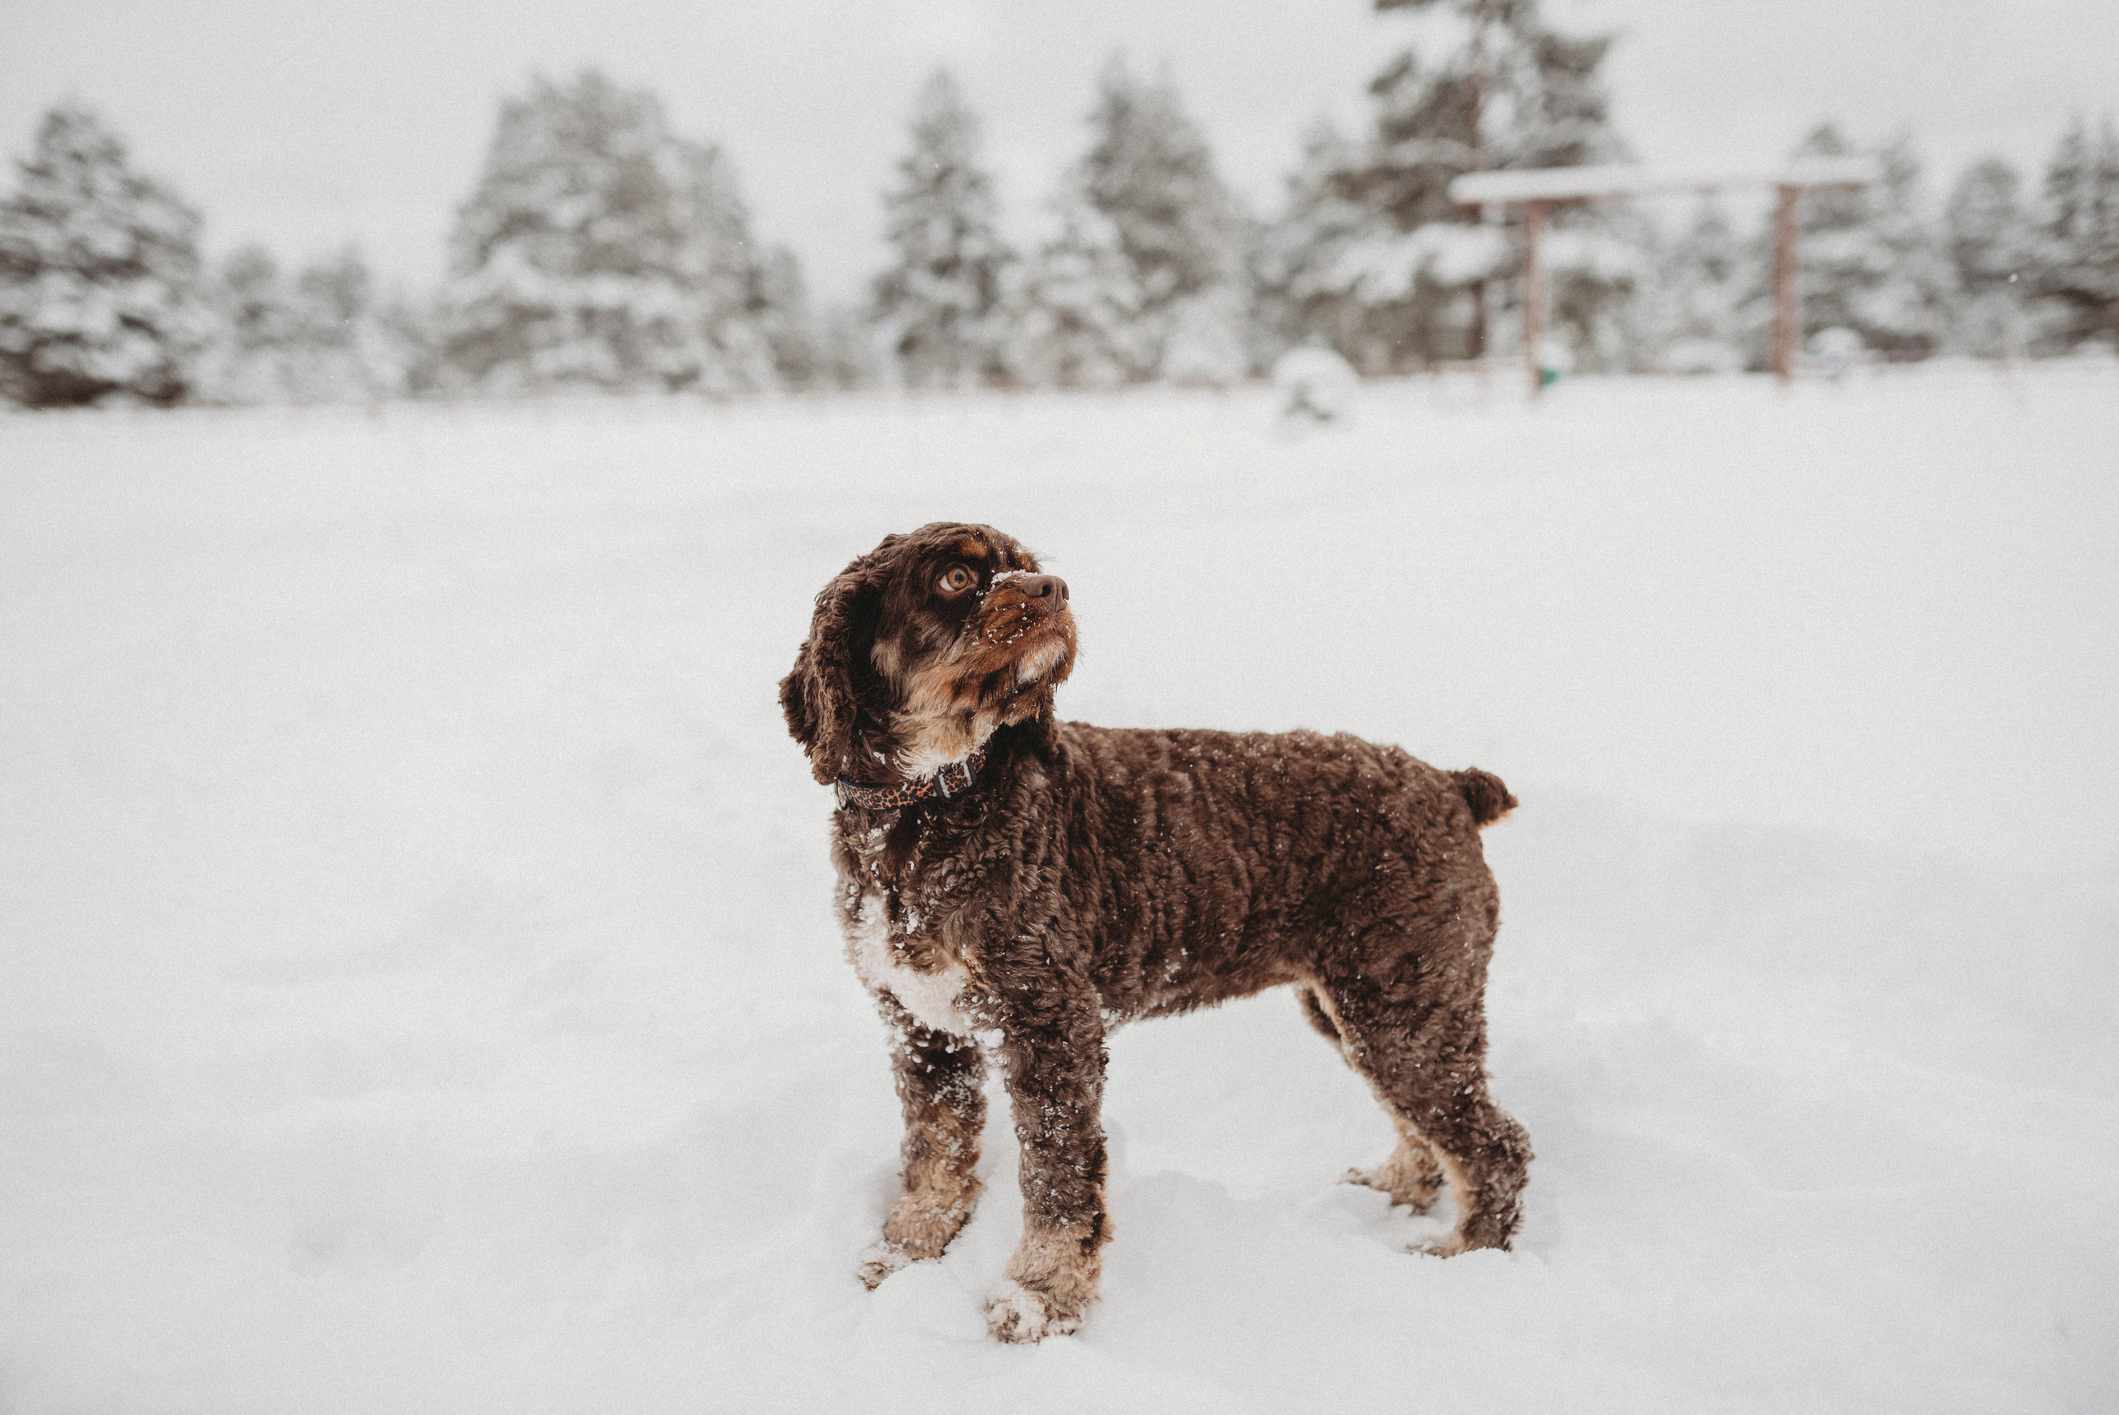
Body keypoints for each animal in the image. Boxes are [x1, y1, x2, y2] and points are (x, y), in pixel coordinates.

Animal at [779, 525, 1525, 1347]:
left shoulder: (1050, 1023)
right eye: (954, 578)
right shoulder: (923, 1028)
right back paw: (1396, 1186)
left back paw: (1469, 1252)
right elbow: (933, 1155)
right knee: (1430, 1126)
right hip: (1358, 1003)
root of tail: (1449, 784)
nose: (1053, 589)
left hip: (1403, 1002)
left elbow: (1057, 1177)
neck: (929, 804)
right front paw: (905, 1253)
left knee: (1494, 1143)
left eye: (1024, 562)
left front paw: (1038, 1298)